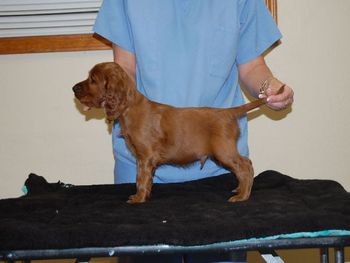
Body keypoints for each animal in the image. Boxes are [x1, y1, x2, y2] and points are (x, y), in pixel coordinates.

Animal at [73, 62, 276, 204]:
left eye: (93, 80)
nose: (74, 88)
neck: (129, 107)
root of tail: (228, 112)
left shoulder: (145, 156)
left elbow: (140, 178)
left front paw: (138, 198)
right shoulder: (144, 158)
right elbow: (145, 179)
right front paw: (145, 194)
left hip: (223, 150)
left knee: (245, 165)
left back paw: (242, 195)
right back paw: (239, 190)